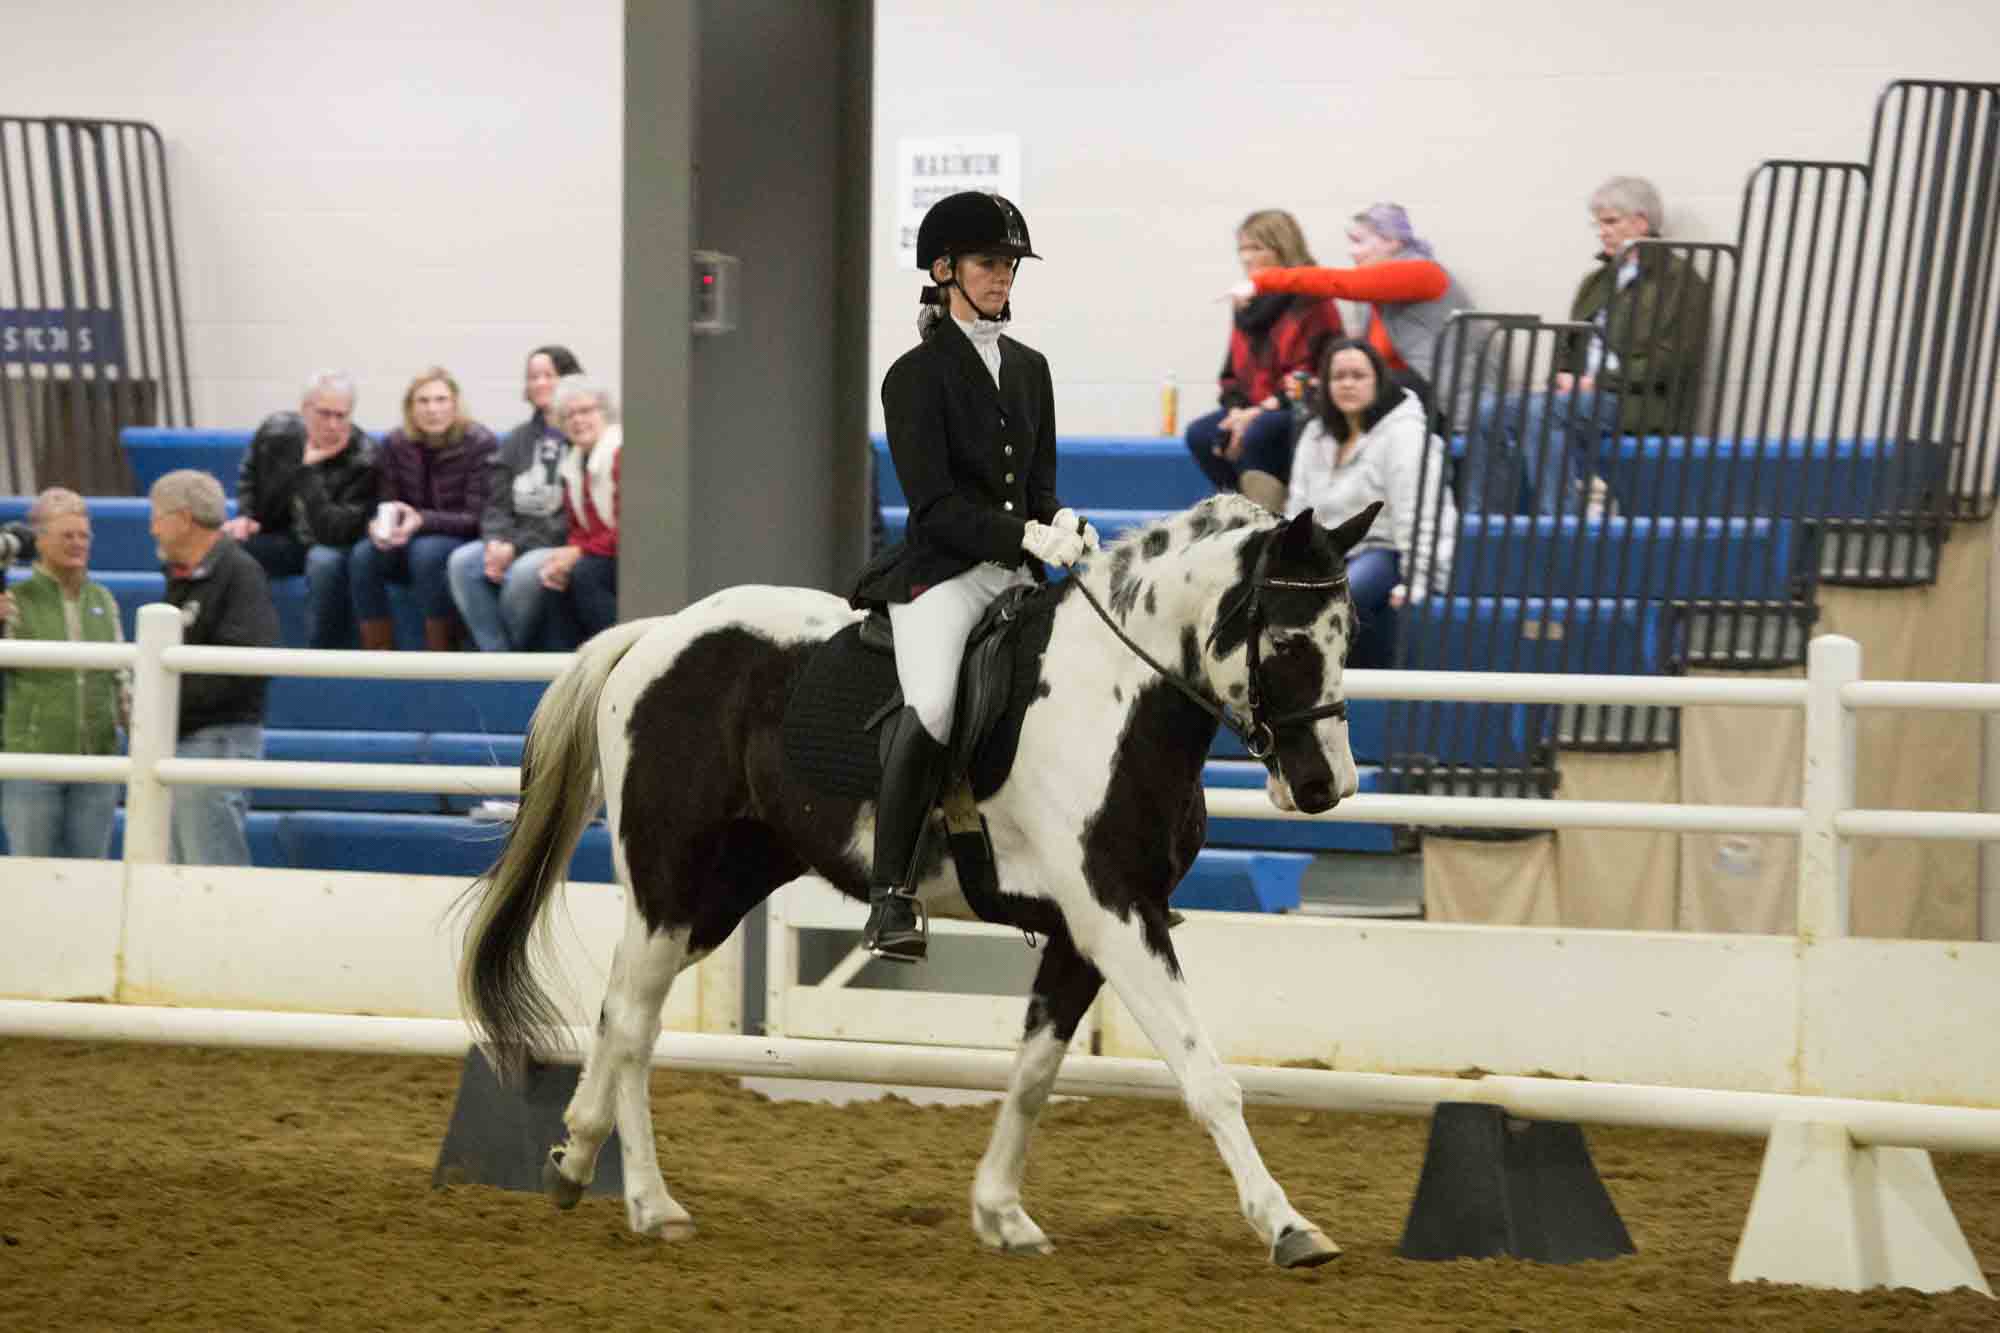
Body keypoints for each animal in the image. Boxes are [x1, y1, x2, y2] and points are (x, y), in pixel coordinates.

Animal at [458, 493, 1381, 1269]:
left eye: (1353, 633)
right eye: (1290, 641)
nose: (1325, 786)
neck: (1114, 699)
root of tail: (657, 634)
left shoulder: (1085, 929)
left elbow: (1034, 1075)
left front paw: (1001, 1213)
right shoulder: (1118, 916)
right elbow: (1207, 1076)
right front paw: (1289, 1226)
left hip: (713, 895)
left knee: (621, 1008)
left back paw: (576, 1159)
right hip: (669, 881)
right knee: (633, 1022)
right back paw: (650, 1203)